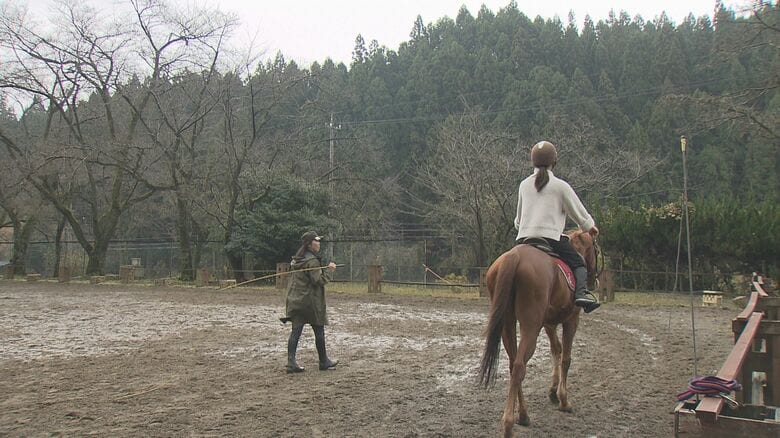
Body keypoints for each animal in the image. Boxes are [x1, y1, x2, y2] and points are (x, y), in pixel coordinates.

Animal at [477, 229, 599, 437]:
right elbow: (566, 358)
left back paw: (523, 415)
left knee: (513, 365)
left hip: (508, 323)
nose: (593, 278)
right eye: (596, 249)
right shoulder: (571, 320)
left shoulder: (548, 323)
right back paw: (509, 424)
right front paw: (564, 400)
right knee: (519, 366)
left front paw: (553, 391)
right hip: (531, 325)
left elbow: (556, 350)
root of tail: (515, 256)